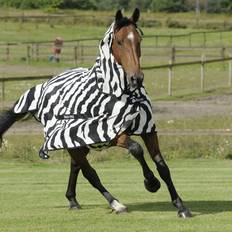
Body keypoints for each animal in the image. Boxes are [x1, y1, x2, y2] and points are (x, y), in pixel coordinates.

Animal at [0, 9, 191, 218]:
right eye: (119, 42)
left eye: (139, 39)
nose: (137, 78)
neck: (122, 93)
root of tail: (44, 87)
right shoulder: (112, 133)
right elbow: (136, 149)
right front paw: (151, 182)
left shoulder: (148, 131)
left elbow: (163, 166)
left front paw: (181, 206)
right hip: (72, 140)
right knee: (89, 173)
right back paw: (116, 204)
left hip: (78, 143)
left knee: (76, 167)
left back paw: (73, 200)